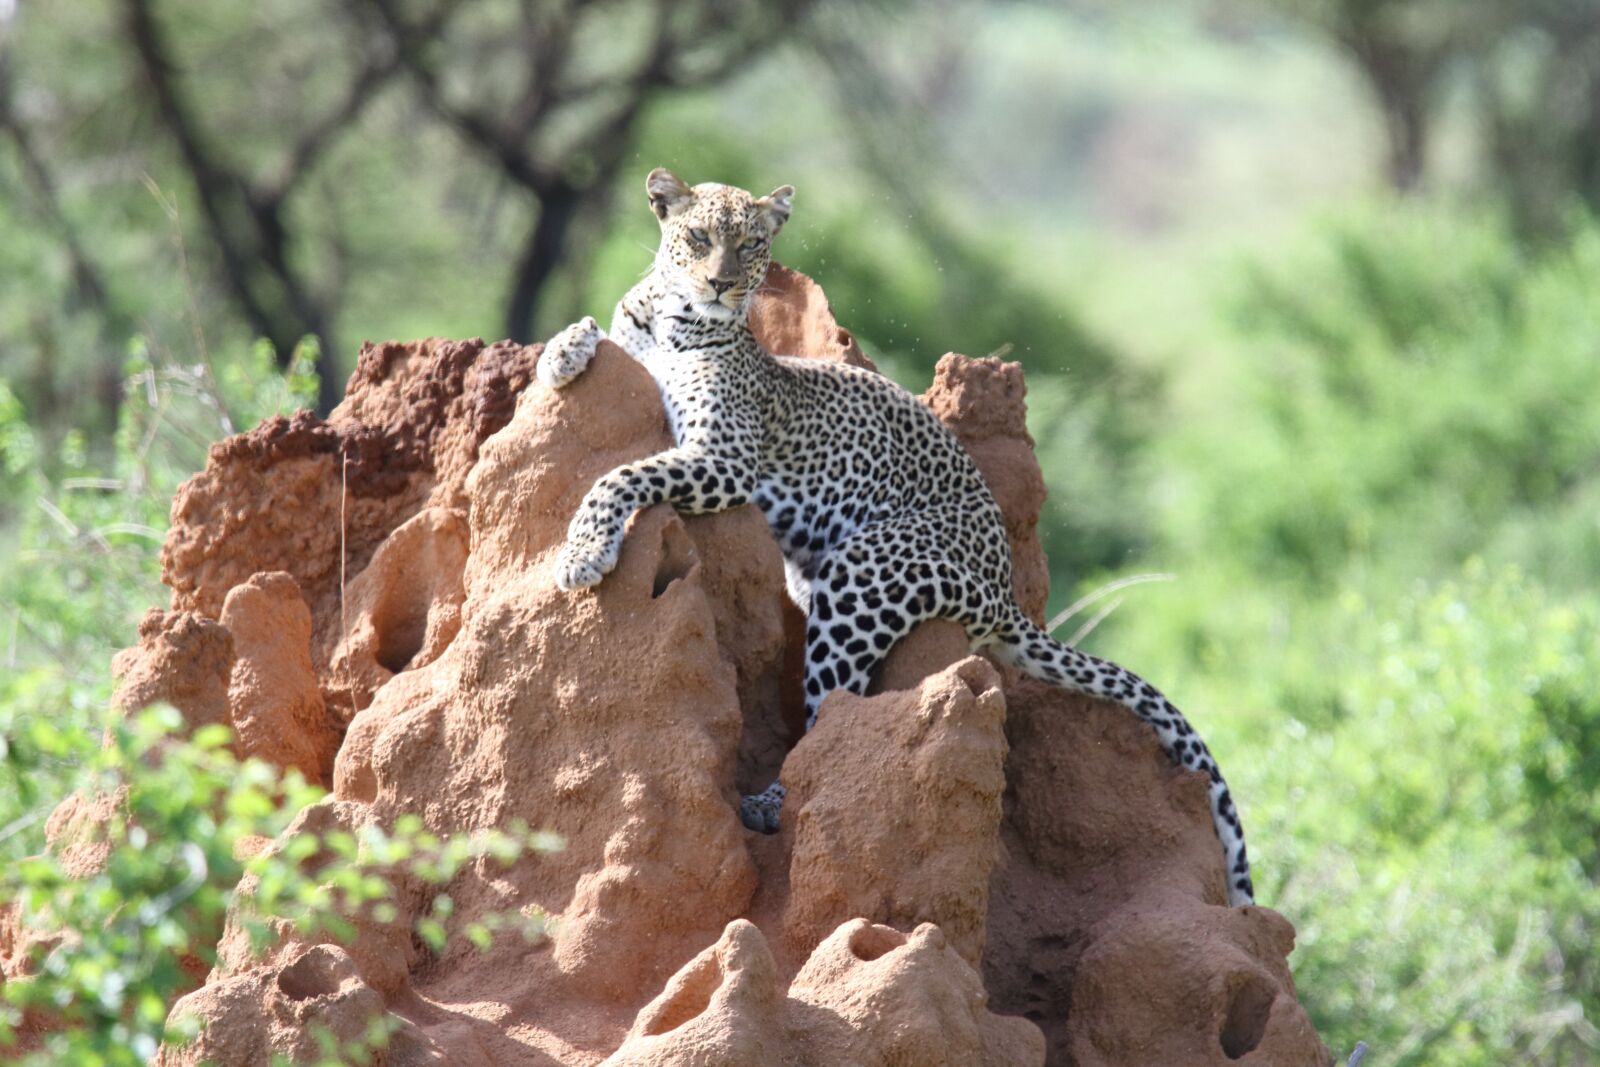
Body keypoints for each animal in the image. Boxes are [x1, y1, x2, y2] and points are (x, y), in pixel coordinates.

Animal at [537, 168, 1260, 908]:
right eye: (699, 236)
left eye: (752, 244)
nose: (720, 285)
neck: (675, 321)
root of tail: (1008, 592)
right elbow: (599, 336)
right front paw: (563, 350)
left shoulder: (728, 457)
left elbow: (621, 472)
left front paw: (582, 553)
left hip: (863, 571)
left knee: (836, 708)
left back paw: (773, 800)